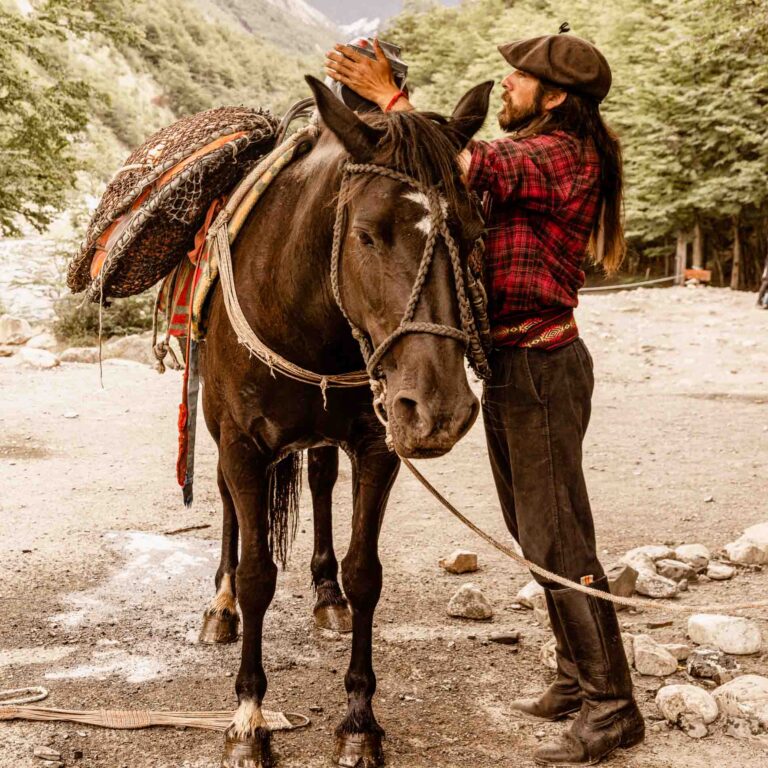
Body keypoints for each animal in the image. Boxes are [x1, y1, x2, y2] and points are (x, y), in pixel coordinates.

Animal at [201, 76, 488, 768]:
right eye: (366, 234)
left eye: (473, 231)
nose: (440, 411)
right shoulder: (242, 447)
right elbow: (257, 575)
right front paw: (248, 720)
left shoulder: (377, 446)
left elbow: (366, 574)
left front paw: (359, 723)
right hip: (215, 428)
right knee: (226, 505)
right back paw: (219, 606)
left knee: (322, 479)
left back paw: (324, 595)